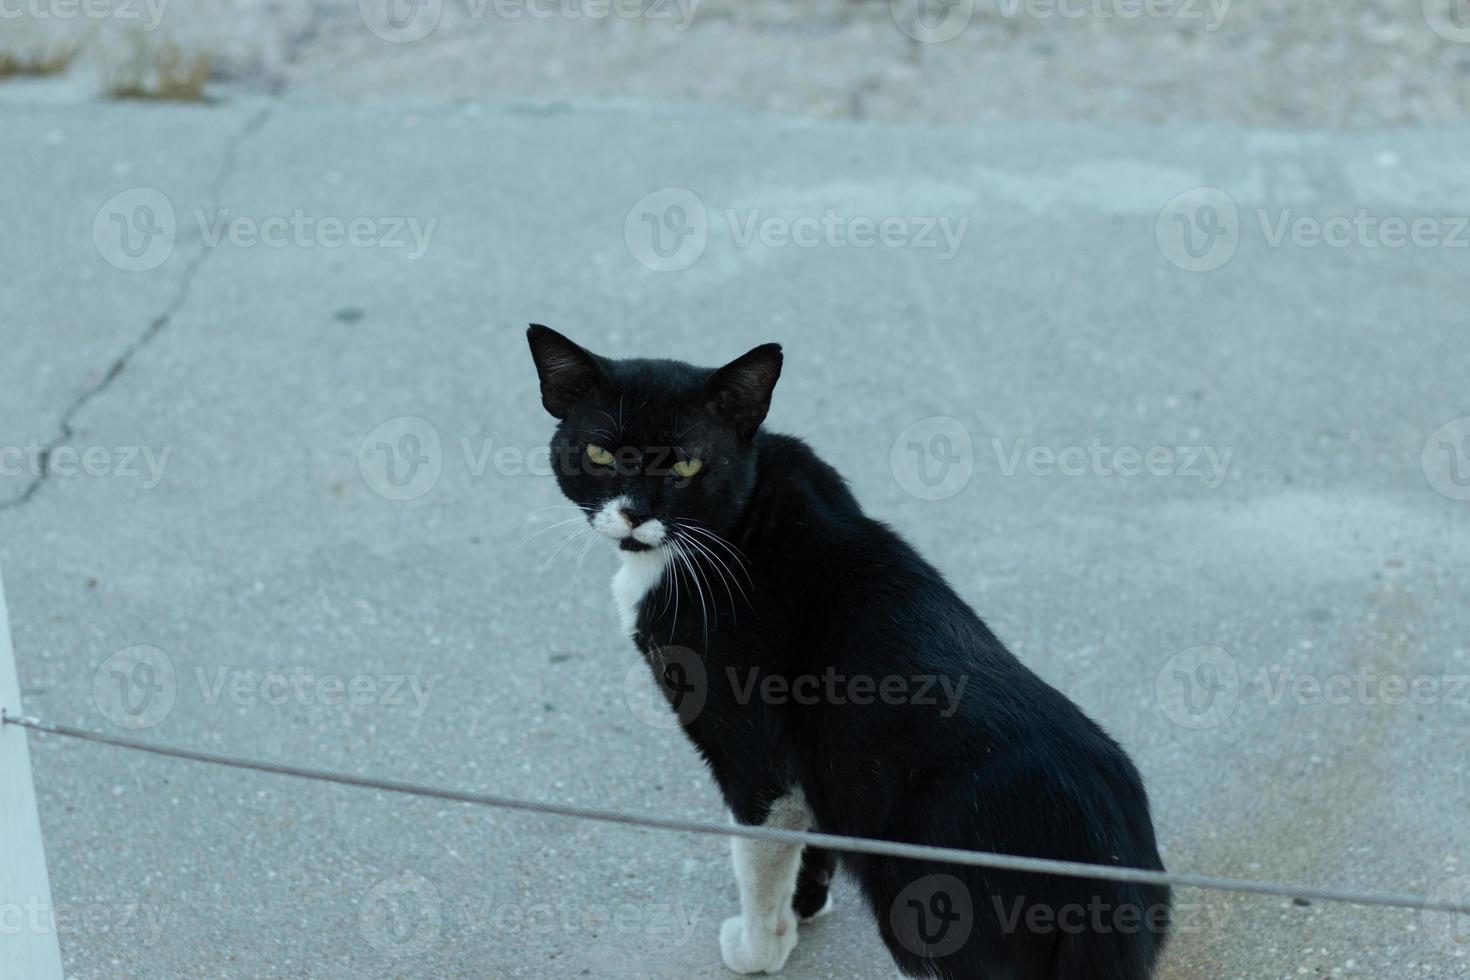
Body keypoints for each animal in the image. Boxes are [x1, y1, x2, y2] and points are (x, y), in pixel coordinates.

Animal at [529, 327, 1170, 980]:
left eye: (686, 464)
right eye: (600, 454)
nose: (633, 513)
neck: (740, 519)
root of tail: (1105, 873)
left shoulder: (757, 756)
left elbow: (759, 855)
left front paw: (760, 948)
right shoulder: (813, 767)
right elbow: (810, 835)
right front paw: (805, 906)